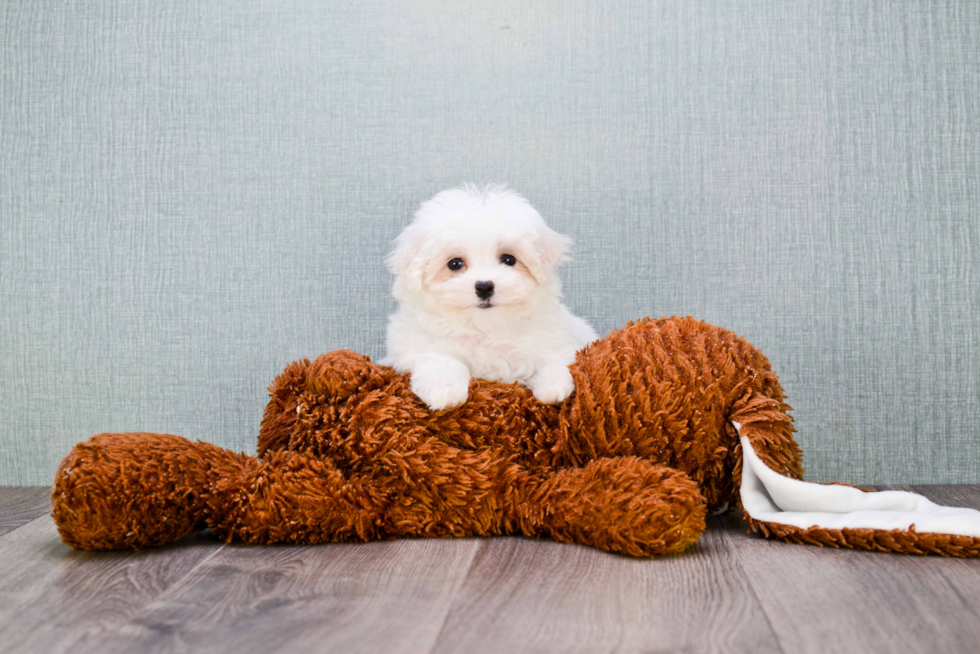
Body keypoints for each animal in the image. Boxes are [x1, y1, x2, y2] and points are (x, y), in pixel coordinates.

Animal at [380, 184, 596, 410]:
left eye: (508, 259)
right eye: (455, 264)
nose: (484, 287)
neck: (485, 328)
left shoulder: (558, 338)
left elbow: (555, 360)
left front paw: (553, 389)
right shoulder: (416, 346)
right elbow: (441, 360)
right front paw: (446, 393)